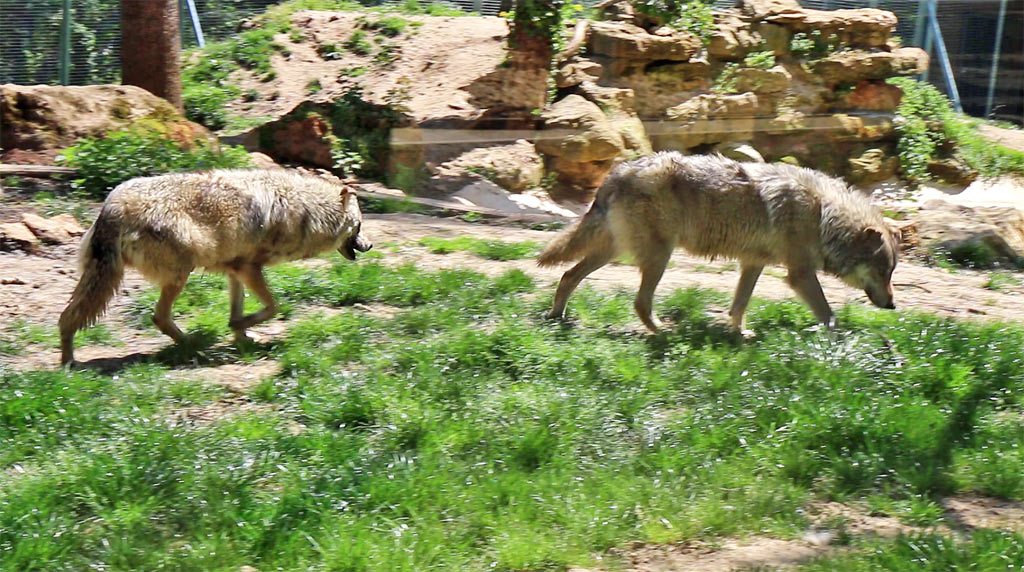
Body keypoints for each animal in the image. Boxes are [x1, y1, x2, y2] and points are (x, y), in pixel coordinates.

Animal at [59, 169, 373, 366]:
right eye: (359, 226)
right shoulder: (250, 268)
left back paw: (68, 361)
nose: (370, 245)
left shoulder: (236, 271)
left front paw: (243, 338)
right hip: (180, 275)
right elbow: (274, 307)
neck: (304, 211)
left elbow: (240, 310)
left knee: (67, 317)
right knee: (159, 317)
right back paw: (195, 346)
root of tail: (113, 205)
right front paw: (240, 330)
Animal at [538, 153, 899, 334]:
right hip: (658, 256)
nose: (893, 306)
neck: (823, 216)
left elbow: (739, 305)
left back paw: (557, 318)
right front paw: (837, 344)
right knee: (640, 302)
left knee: (568, 275)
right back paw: (662, 333)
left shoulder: (753, 264)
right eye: (883, 272)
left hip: (614, 251)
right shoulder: (799, 274)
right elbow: (829, 315)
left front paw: (740, 335)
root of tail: (619, 171)